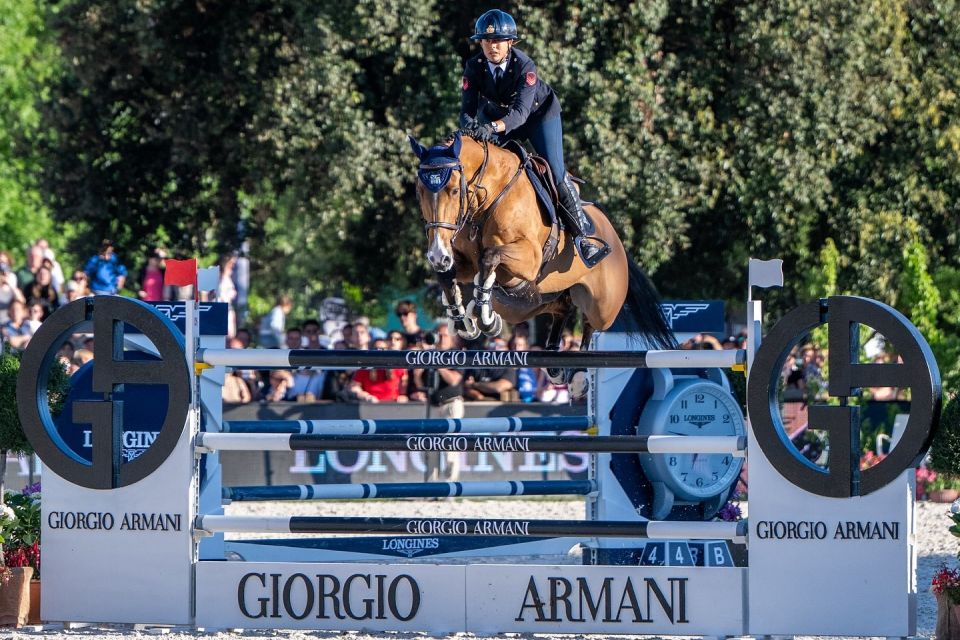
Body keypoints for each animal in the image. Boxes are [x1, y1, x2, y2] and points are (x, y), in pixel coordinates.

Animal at [408, 130, 675, 361]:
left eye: (454, 190)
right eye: (419, 191)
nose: (437, 254)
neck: (490, 197)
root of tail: (616, 241)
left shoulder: (529, 259)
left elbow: (489, 256)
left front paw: (485, 317)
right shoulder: (464, 262)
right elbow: (447, 275)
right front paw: (462, 320)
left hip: (602, 307)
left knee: (590, 323)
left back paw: (580, 366)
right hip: (531, 303)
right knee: (562, 308)